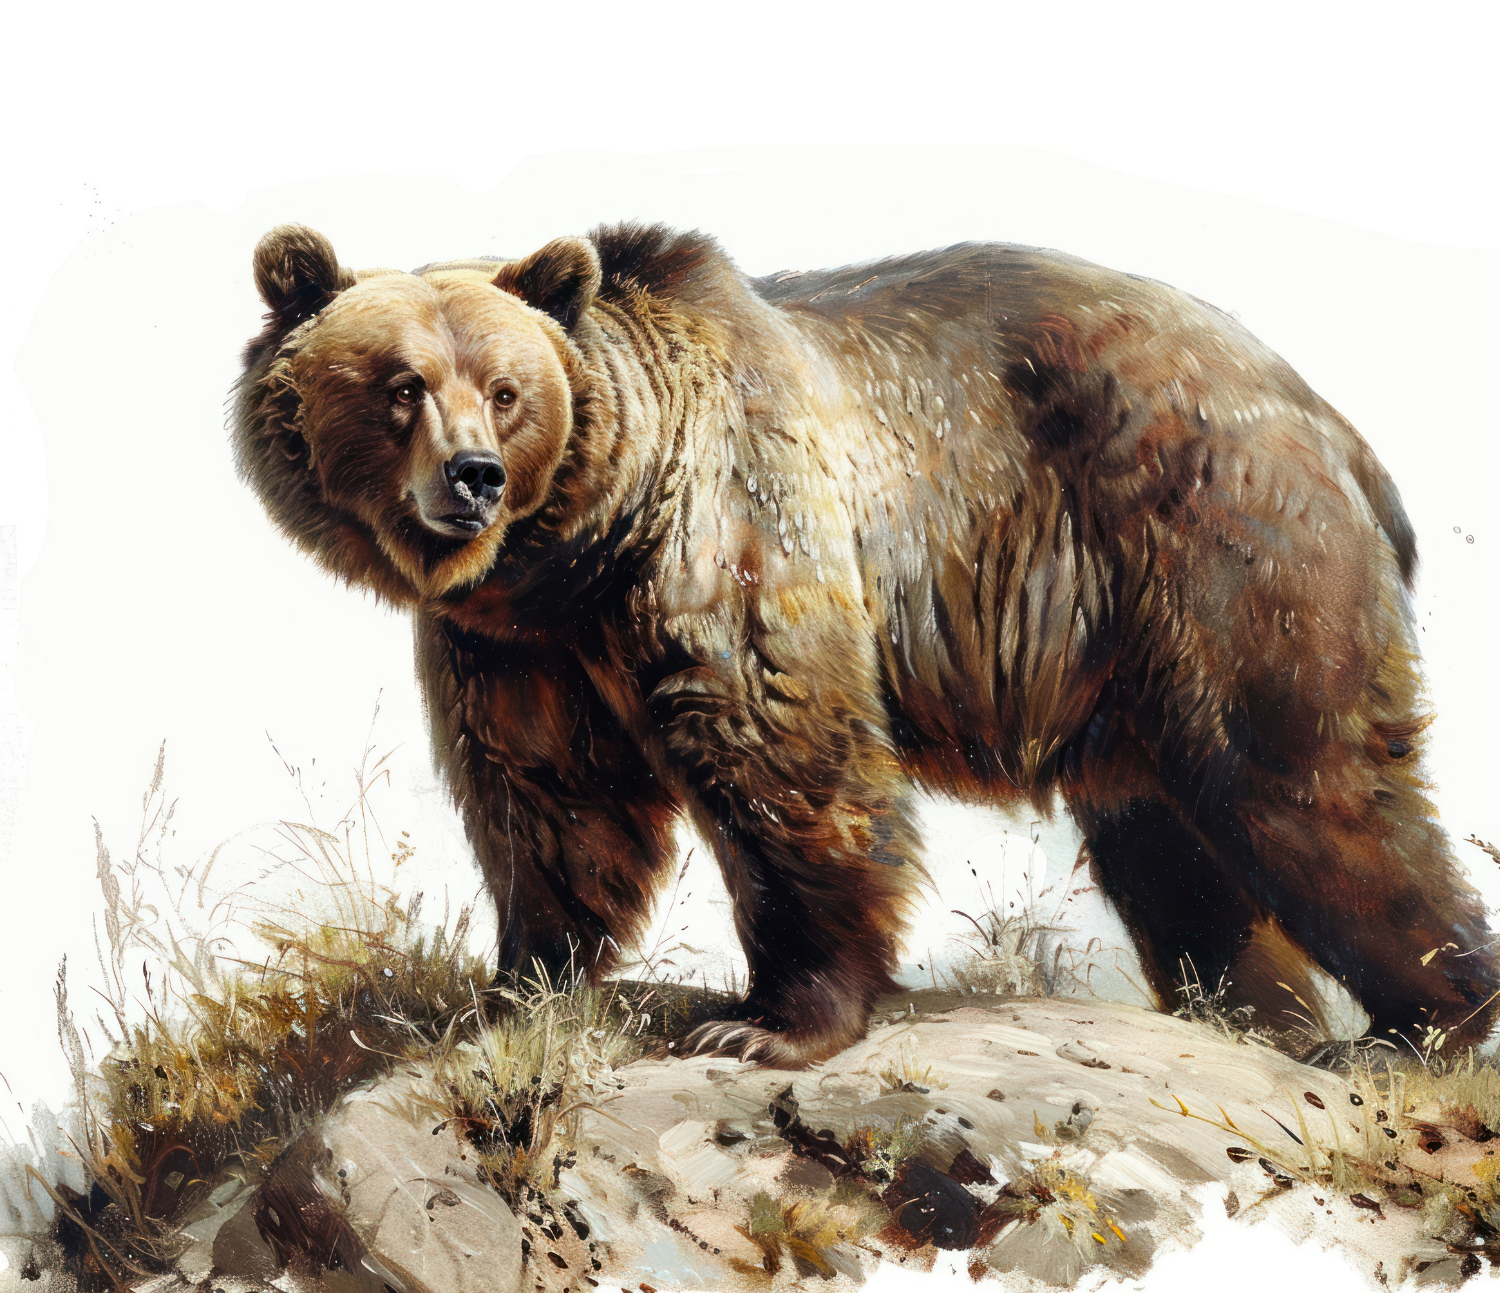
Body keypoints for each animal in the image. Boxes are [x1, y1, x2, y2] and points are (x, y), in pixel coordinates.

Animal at [234, 221, 1500, 1065]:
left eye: (505, 389)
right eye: (402, 384)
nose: (475, 478)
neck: (588, 541)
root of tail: (1338, 431)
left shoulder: (736, 524)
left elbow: (783, 754)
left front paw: (767, 1024)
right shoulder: (517, 644)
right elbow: (550, 803)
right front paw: (518, 987)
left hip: (1221, 549)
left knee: (1304, 786)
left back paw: (1416, 1026)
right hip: (1131, 646)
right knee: (1170, 837)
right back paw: (1247, 1016)